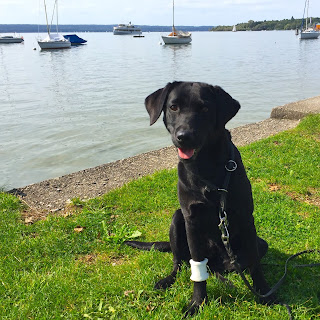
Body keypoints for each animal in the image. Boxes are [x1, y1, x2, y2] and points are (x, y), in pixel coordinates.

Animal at [124, 81, 272, 316]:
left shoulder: (246, 217)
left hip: (259, 243)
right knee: (180, 262)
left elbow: (255, 262)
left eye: (204, 108)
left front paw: (265, 293)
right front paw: (197, 303)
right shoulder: (191, 221)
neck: (206, 167)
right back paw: (167, 280)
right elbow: (197, 270)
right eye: (173, 107)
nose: (184, 136)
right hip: (177, 219)